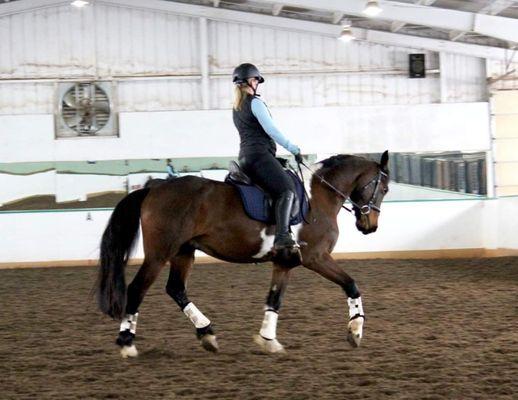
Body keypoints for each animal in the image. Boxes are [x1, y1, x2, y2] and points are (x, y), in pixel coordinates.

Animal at [96, 150, 390, 356]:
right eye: (384, 189)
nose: (370, 226)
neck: (318, 197)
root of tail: (154, 187)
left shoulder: (284, 263)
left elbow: (274, 300)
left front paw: (268, 340)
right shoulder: (316, 258)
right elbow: (351, 284)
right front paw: (355, 331)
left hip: (183, 252)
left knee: (176, 289)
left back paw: (207, 333)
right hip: (159, 254)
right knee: (137, 289)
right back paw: (127, 343)